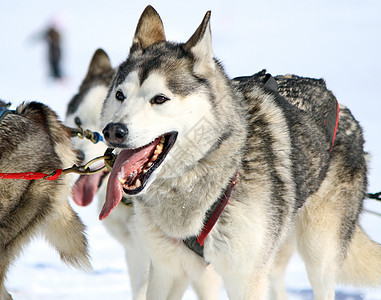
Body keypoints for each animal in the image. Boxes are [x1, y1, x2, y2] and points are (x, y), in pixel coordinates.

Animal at [98, 5, 380, 298]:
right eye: (120, 95)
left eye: (160, 99)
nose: (113, 131)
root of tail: (342, 108)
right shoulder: (167, 271)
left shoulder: (245, 278)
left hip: (318, 251)